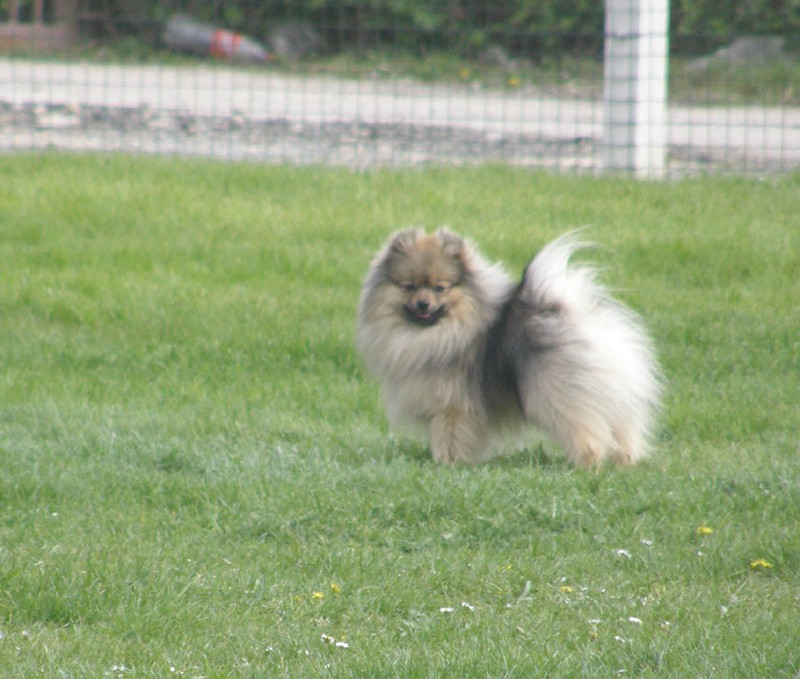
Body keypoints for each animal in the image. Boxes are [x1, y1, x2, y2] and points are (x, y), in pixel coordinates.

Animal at [358, 228, 664, 468]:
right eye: (409, 287)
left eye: (440, 288)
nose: (423, 304)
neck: (437, 332)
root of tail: (577, 317)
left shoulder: (452, 406)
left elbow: (448, 436)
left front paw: (446, 463)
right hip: (611, 395)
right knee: (622, 429)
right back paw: (625, 460)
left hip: (559, 394)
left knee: (585, 431)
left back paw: (587, 464)